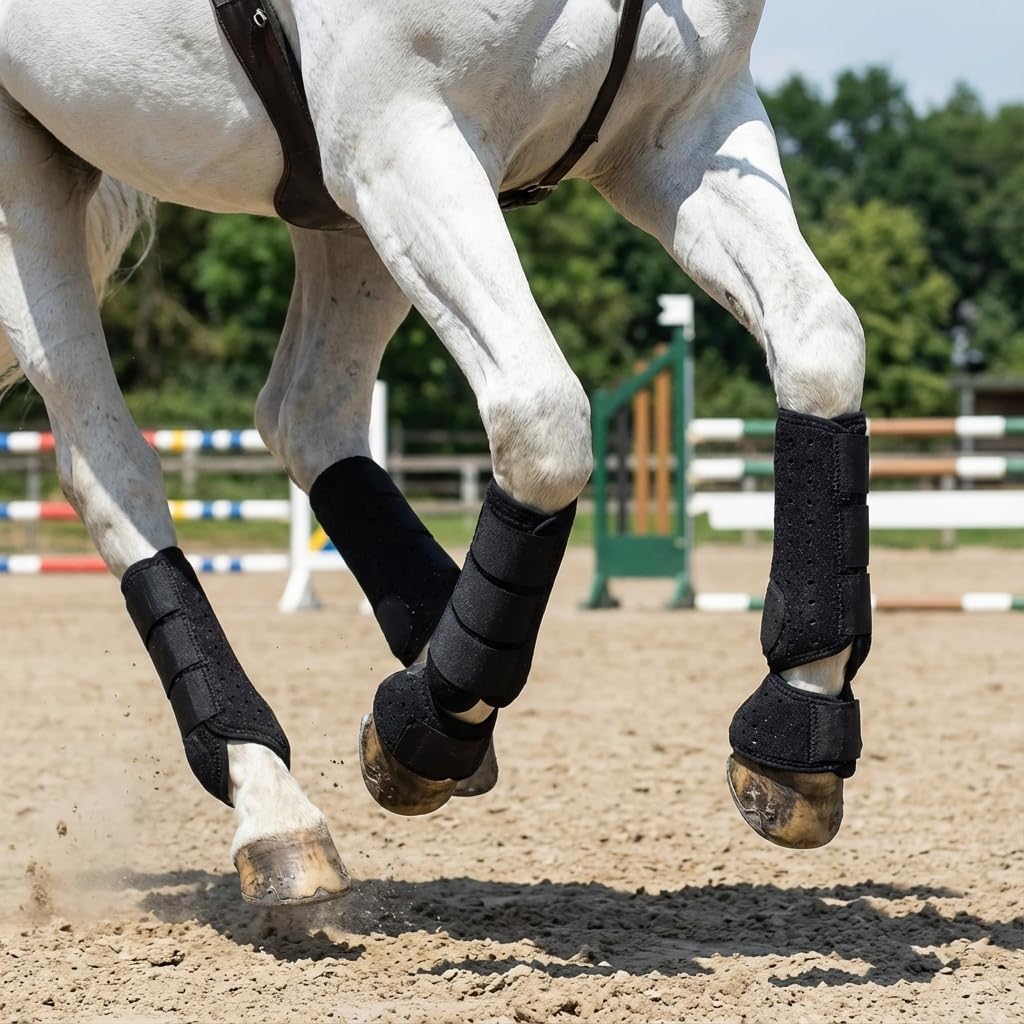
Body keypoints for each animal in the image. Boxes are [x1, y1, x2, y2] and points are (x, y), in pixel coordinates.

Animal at [0, 0, 870, 906]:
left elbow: (820, 349)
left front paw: (798, 729)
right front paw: (428, 727)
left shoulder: (683, 128)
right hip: (49, 177)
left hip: (332, 205)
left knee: (305, 413)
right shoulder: (404, 136)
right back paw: (271, 799)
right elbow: (544, 421)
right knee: (111, 470)